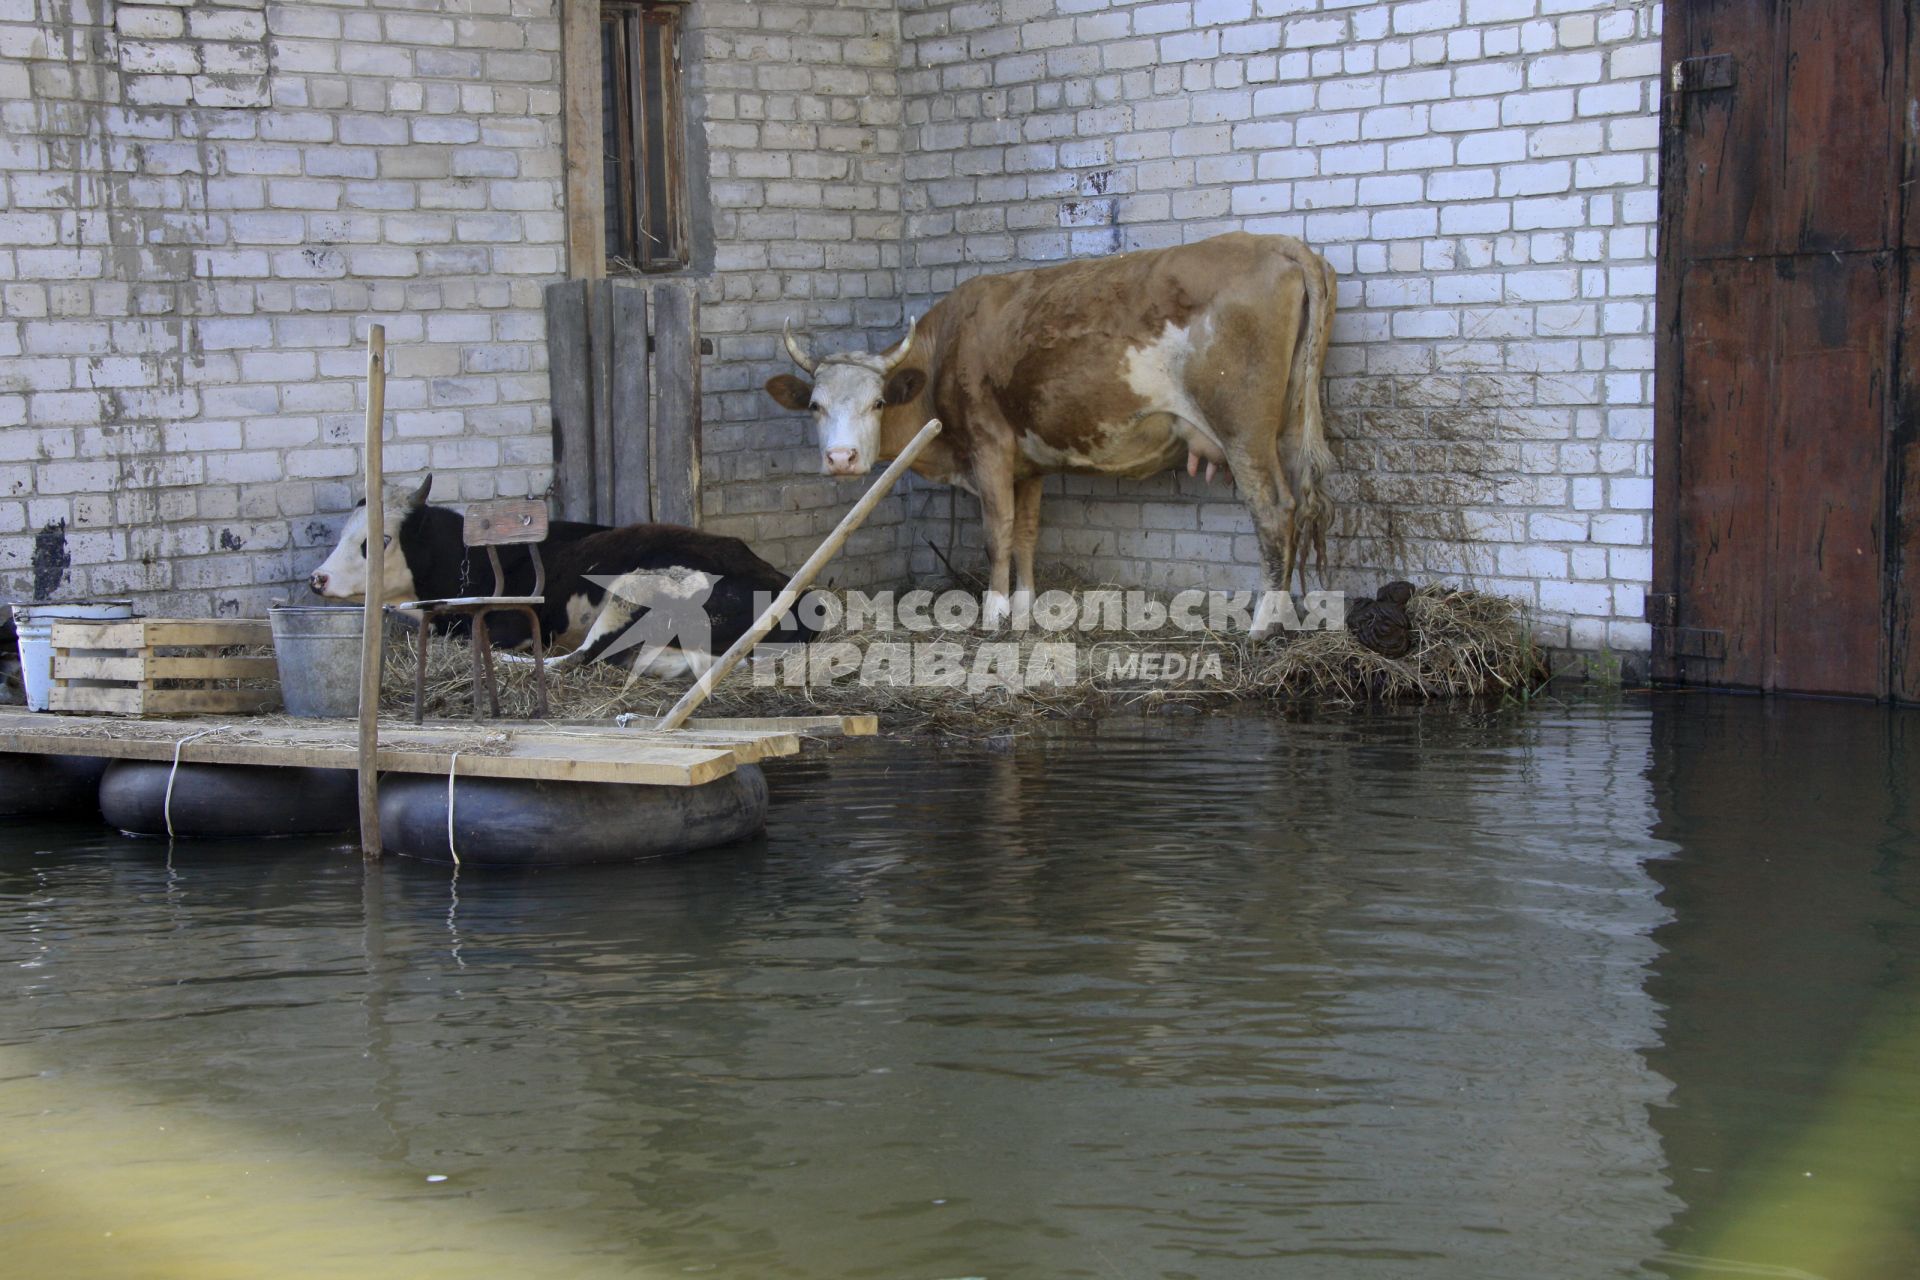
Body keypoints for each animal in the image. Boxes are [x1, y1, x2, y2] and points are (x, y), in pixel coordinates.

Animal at [764, 233, 1336, 633]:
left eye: (877, 402)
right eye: (814, 405)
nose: (841, 459)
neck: (946, 348)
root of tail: (1273, 242)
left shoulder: (990, 444)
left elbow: (997, 530)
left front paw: (994, 613)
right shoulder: (1029, 462)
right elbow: (1026, 532)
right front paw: (1025, 607)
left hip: (1243, 430)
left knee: (1272, 511)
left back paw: (1262, 625)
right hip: (1290, 424)